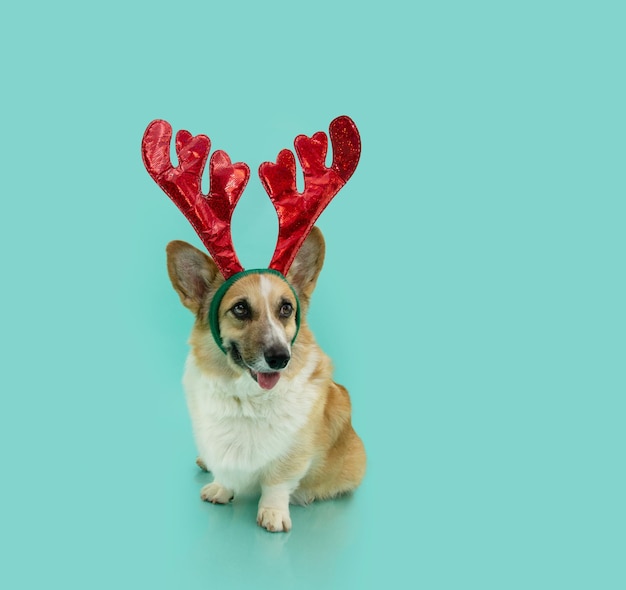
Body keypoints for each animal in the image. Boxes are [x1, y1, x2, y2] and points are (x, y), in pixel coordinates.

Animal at [166, 225, 364, 532]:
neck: (246, 396)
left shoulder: (292, 454)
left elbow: (277, 482)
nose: (280, 357)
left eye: (286, 308)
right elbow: (225, 469)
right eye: (240, 309)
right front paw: (221, 488)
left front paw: (272, 513)